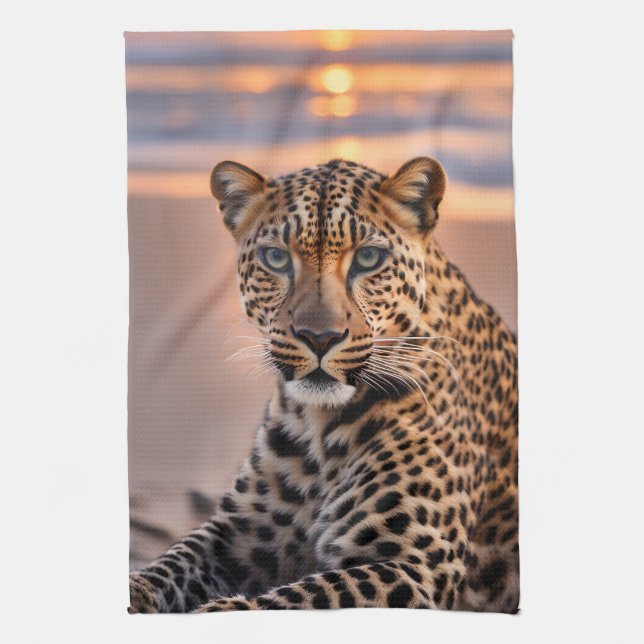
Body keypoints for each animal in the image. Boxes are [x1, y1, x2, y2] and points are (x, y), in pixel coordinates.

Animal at [128, 157, 519, 613]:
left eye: (368, 257)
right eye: (276, 258)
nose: (319, 337)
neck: (318, 427)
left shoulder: (414, 565)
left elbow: (292, 599)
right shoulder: (235, 534)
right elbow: (169, 562)